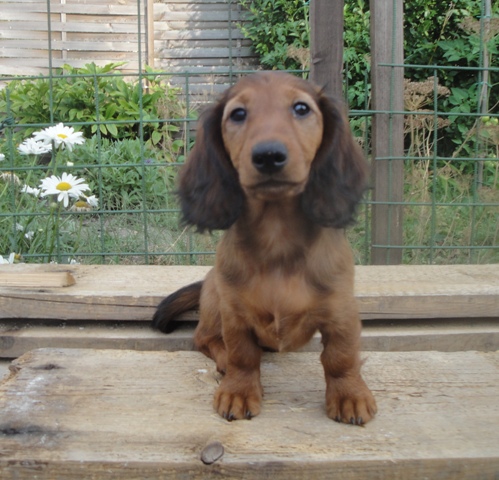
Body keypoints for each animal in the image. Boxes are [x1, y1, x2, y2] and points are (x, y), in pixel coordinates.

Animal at [152, 72, 377, 425]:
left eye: (301, 108)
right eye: (238, 114)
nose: (268, 155)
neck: (277, 236)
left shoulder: (342, 312)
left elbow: (341, 357)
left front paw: (350, 396)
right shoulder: (235, 315)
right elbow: (243, 355)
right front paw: (238, 391)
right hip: (215, 296)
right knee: (204, 338)